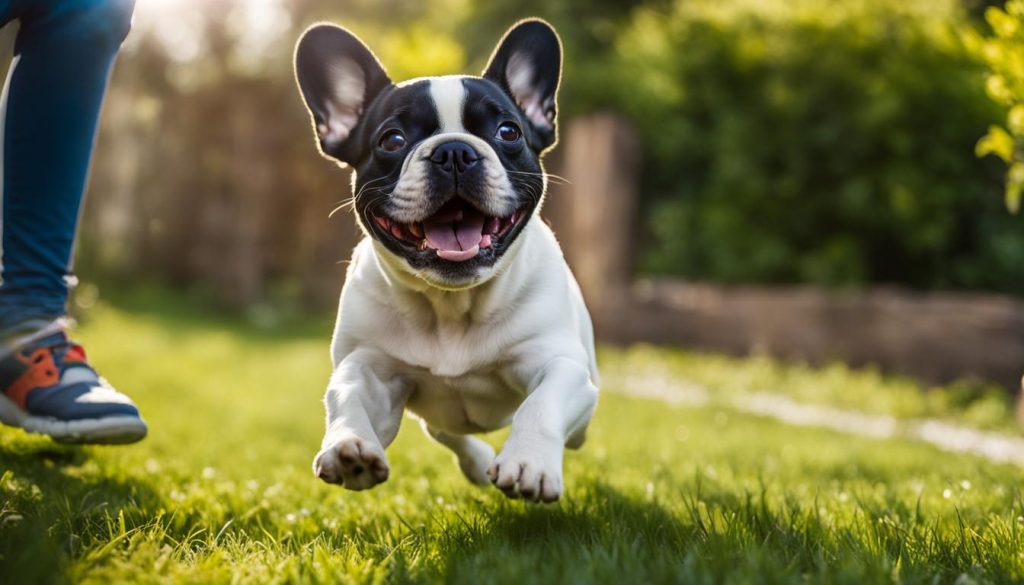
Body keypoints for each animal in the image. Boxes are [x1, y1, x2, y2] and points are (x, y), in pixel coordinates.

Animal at [294, 19, 598, 504]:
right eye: (392, 140)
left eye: (508, 132)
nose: (454, 150)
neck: (452, 307)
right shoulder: (369, 367)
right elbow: (346, 395)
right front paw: (347, 446)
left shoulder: (558, 363)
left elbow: (541, 403)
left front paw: (528, 462)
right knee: (443, 430)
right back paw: (476, 461)